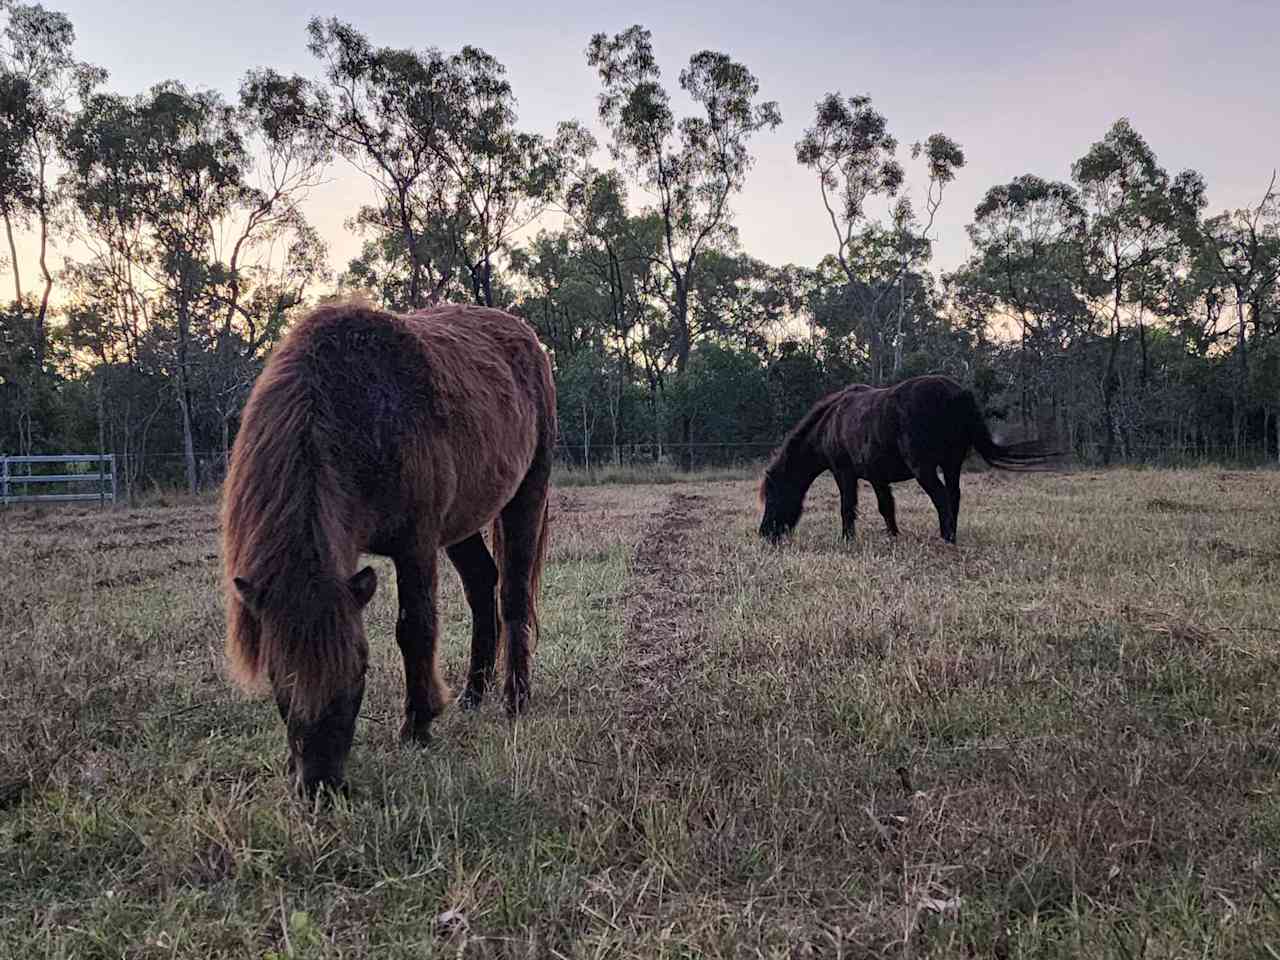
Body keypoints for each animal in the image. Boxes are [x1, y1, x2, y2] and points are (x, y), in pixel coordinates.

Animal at [218, 300, 555, 798]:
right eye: (279, 677)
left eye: (360, 672)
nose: (320, 785)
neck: (355, 412)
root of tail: (525, 334)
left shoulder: (416, 544)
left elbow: (415, 629)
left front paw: (418, 725)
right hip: (462, 524)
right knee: (481, 585)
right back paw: (474, 693)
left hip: (526, 495)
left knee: (512, 594)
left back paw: (515, 698)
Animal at [757, 378, 1049, 547]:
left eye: (773, 496)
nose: (765, 534)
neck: (831, 421)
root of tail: (957, 393)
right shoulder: (876, 477)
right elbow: (886, 507)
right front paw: (894, 536)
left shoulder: (844, 472)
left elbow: (847, 507)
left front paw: (847, 540)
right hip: (952, 464)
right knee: (953, 495)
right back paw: (951, 535)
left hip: (925, 469)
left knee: (942, 498)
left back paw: (946, 539)